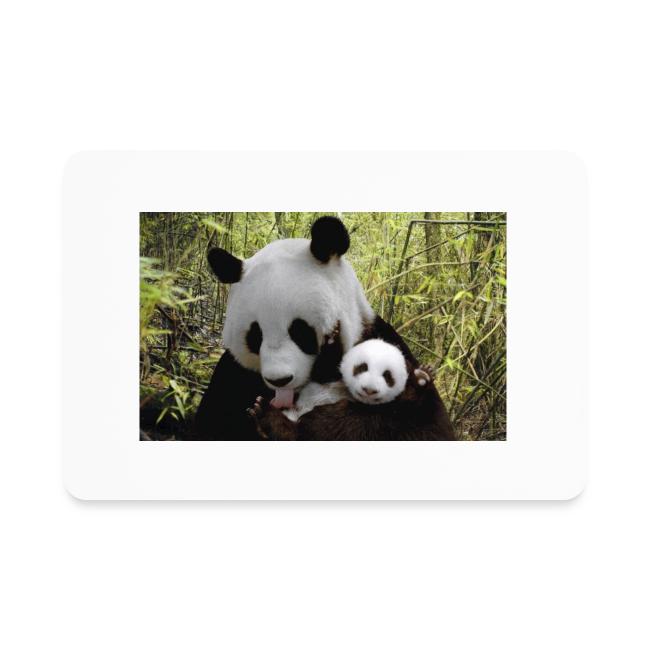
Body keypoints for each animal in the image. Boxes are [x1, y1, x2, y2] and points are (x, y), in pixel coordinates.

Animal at [192, 216, 453, 441]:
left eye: (301, 332)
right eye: (256, 336)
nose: (280, 380)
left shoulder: (382, 339)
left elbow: (425, 427)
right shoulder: (234, 374)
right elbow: (212, 425)